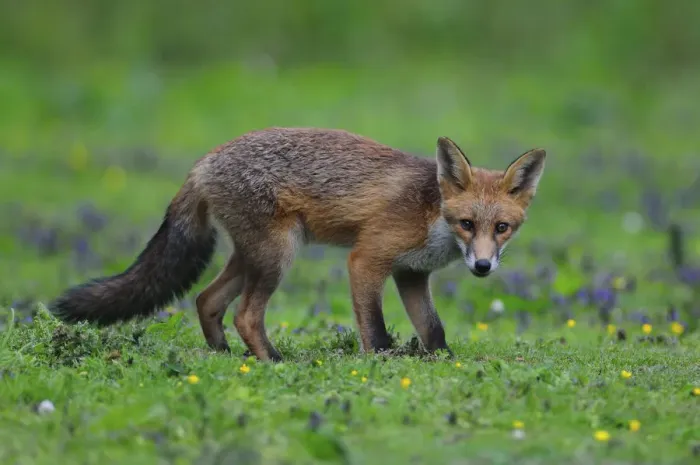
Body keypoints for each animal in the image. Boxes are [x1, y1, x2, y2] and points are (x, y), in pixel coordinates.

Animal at [49, 127, 546, 361]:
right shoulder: (367, 259)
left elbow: (434, 329)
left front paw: (444, 363)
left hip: (252, 257)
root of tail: (203, 162)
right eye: (467, 223)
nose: (482, 267)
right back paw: (273, 361)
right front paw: (382, 363)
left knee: (207, 300)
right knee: (246, 315)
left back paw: (224, 356)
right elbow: (375, 329)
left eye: (502, 228)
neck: (431, 212)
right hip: (278, 257)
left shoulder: (410, 273)